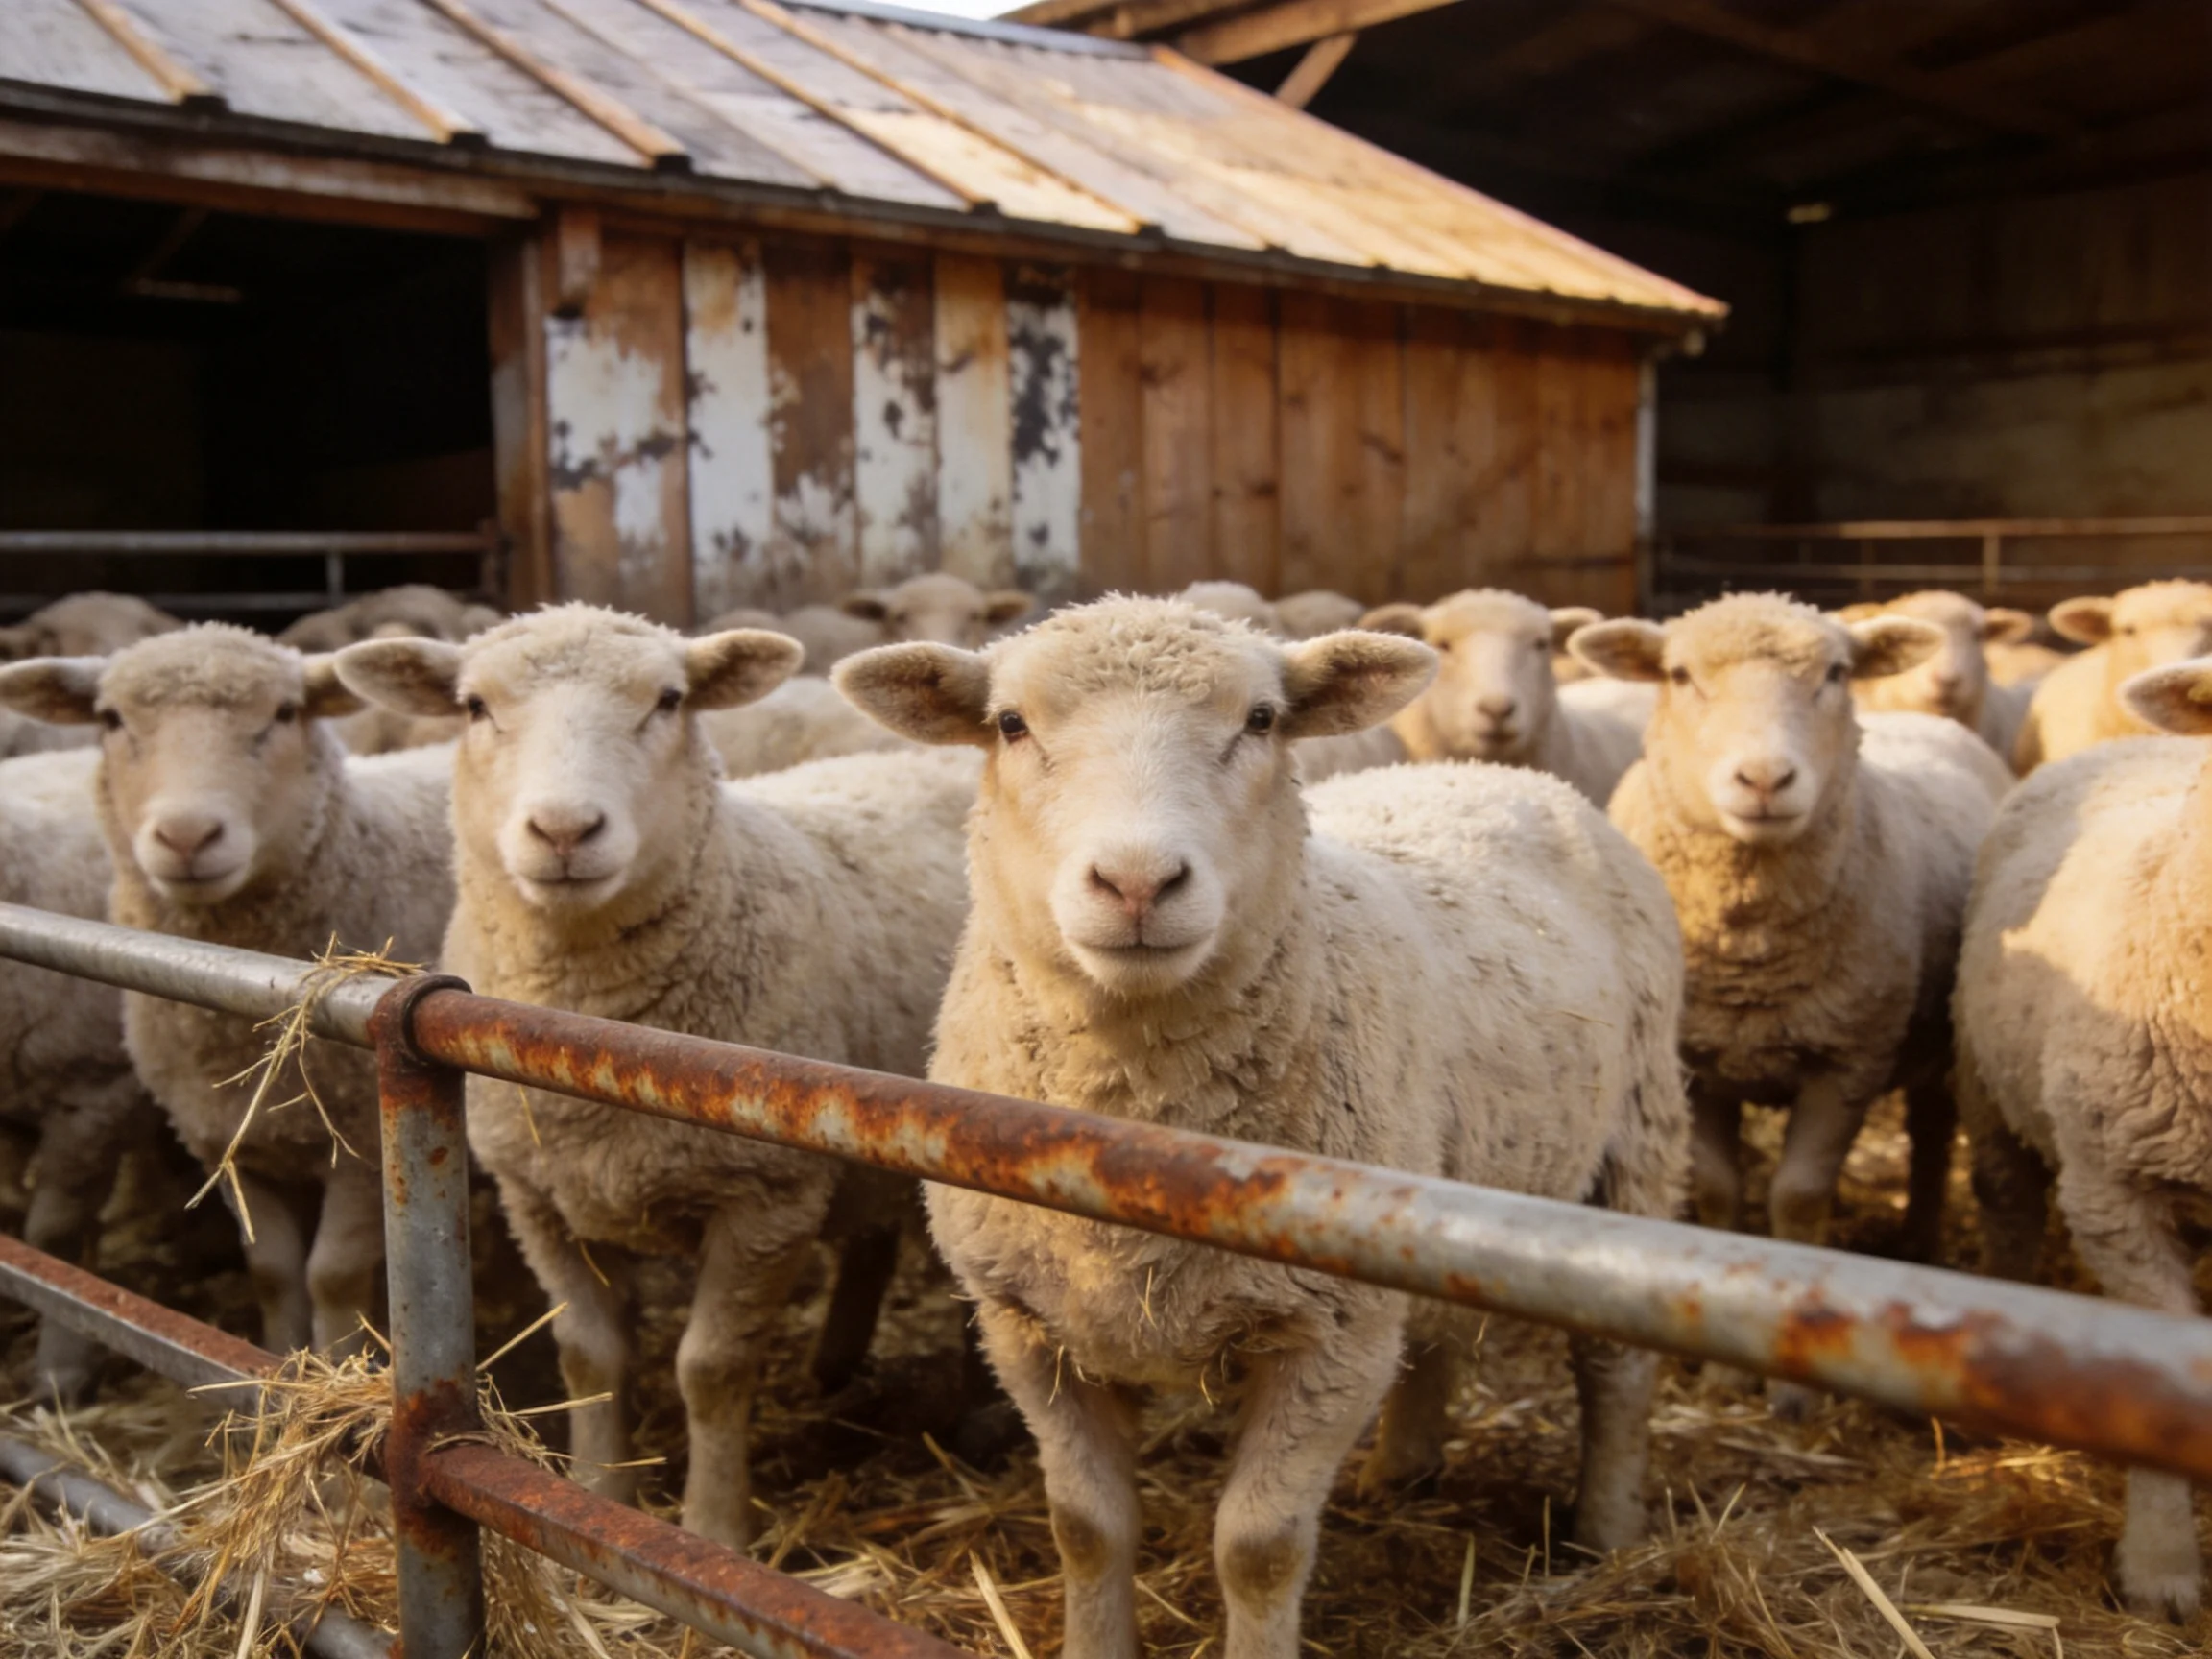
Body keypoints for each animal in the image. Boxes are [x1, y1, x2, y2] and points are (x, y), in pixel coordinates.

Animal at [0, 625, 456, 1357]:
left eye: (284, 713)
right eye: (111, 719)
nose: (187, 836)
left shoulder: (362, 1141)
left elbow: (332, 1275)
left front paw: (337, 1365)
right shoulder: (227, 1141)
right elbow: (270, 1271)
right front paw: (281, 1361)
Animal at [335, 604, 982, 1549]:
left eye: (669, 700)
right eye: (474, 706)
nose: (565, 832)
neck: (591, 1036)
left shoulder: (767, 1198)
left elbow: (710, 1368)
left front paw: (712, 1532)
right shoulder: (538, 1197)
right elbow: (590, 1358)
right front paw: (597, 1499)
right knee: (871, 1237)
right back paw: (833, 1365)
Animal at [1574, 595, 2009, 1321]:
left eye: (1836, 673)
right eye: (1680, 675)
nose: (1765, 778)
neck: (1752, 950)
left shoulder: (1849, 1062)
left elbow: (1800, 1197)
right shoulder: (1693, 1065)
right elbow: (1719, 1190)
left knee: (1930, 1131)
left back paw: (1919, 1240)